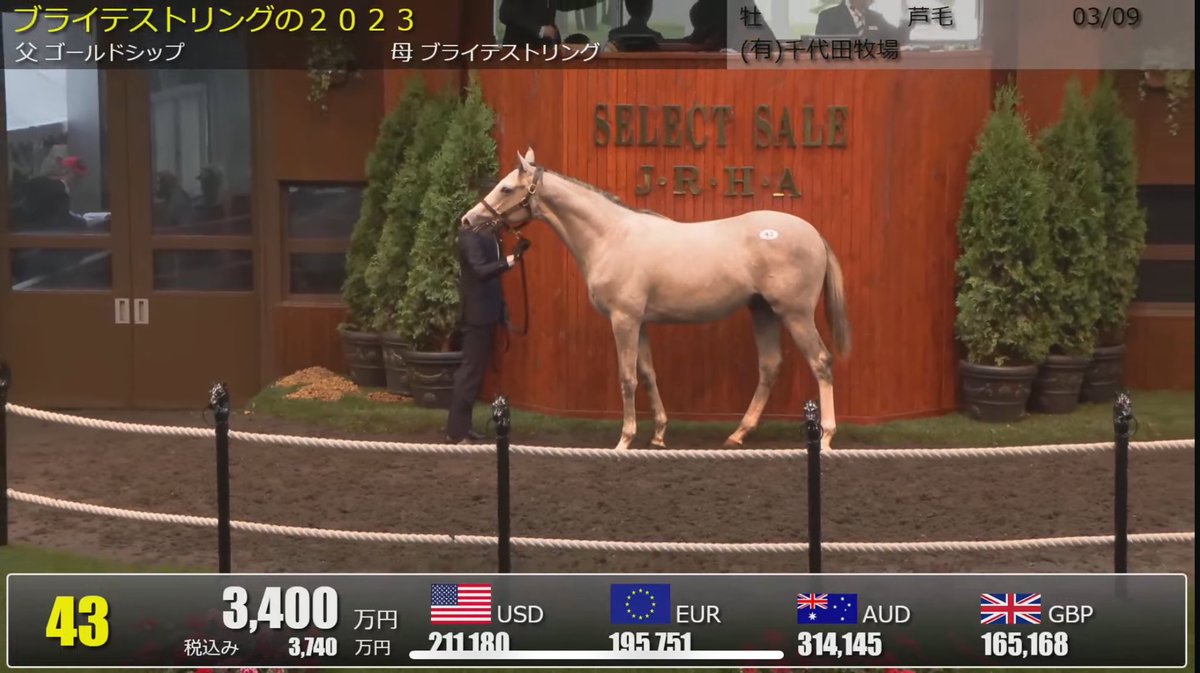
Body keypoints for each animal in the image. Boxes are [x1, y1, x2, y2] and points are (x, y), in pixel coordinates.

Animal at [460, 148, 851, 452]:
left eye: (506, 187)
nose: (467, 220)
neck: (611, 236)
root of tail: (814, 234)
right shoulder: (641, 322)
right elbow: (648, 374)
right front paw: (659, 434)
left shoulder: (624, 320)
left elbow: (627, 377)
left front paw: (624, 439)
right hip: (763, 311)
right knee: (770, 366)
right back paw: (737, 434)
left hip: (795, 314)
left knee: (821, 361)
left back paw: (826, 437)